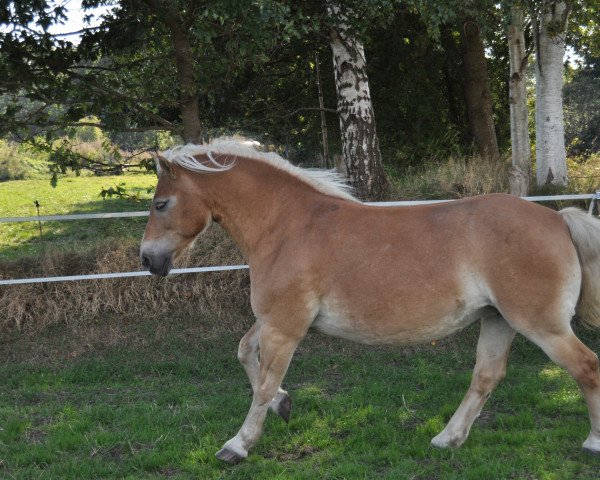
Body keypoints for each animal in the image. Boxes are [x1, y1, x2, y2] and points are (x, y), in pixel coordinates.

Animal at [138, 139, 600, 462]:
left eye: (161, 203)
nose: (147, 259)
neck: (288, 226)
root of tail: (558, 218)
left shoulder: (285, 326)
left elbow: (264, 382)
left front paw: (237, 445)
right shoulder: (275, 320)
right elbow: (244, 354)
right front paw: (284, 406)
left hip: (541, 325)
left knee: (586, 367)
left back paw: (592, 442)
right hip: (499, 320)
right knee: (486, 377)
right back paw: (446, 439)